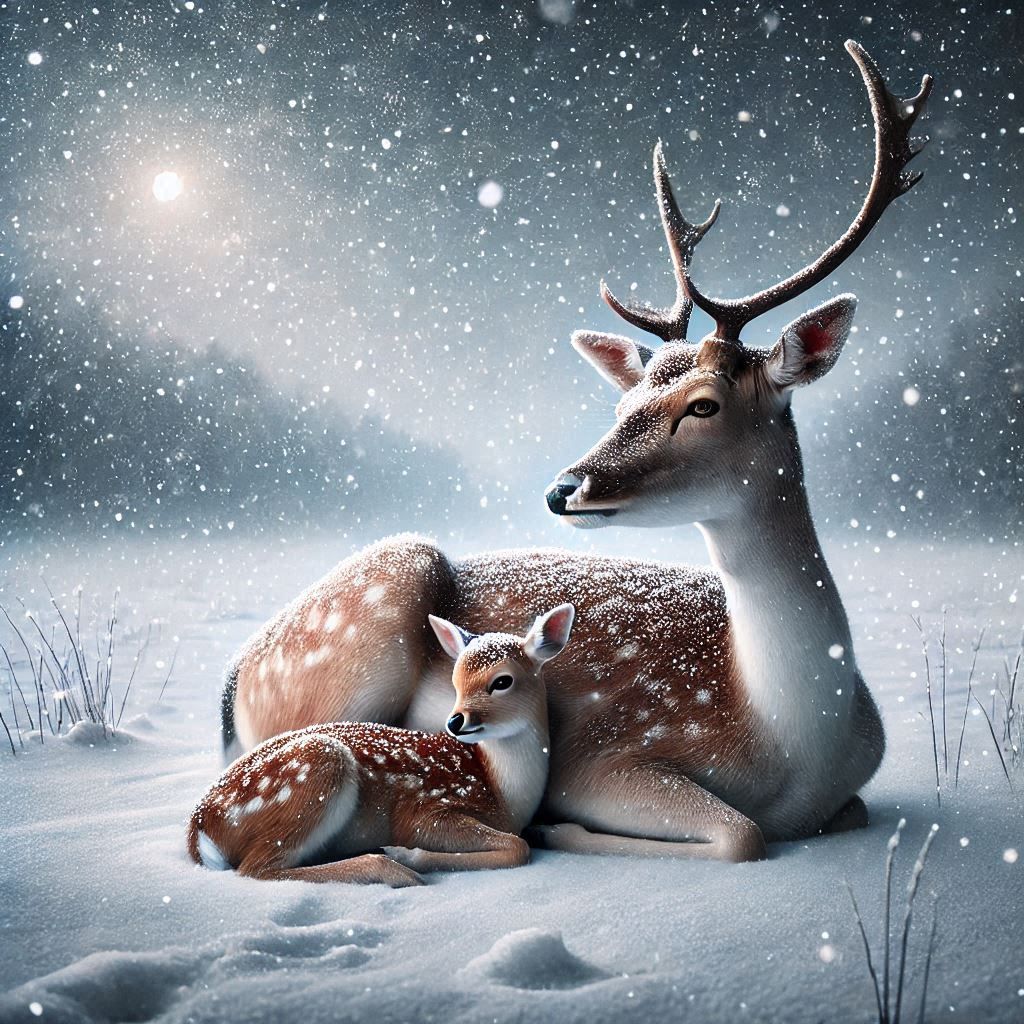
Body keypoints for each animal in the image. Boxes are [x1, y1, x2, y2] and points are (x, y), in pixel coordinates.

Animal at [189, 606, 574, 884]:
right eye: (455, 681)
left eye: (502, 681)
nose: (456, 721)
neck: (504, 795)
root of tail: (199, 826)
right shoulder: (426, 807)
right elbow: (519, 847)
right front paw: (407, 855)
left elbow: (519, 844)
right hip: (317, 768)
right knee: (257, 867)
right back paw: (391, 869)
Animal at [220, 41, 932, 863]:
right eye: (622, 405)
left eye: (704, 404)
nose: (565, 488)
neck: (792, 740)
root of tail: (234, 681)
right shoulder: (609, 750)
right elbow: (741, 833)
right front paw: (563, 826)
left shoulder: (855, 780)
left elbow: (847, 813)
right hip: (368, 615)